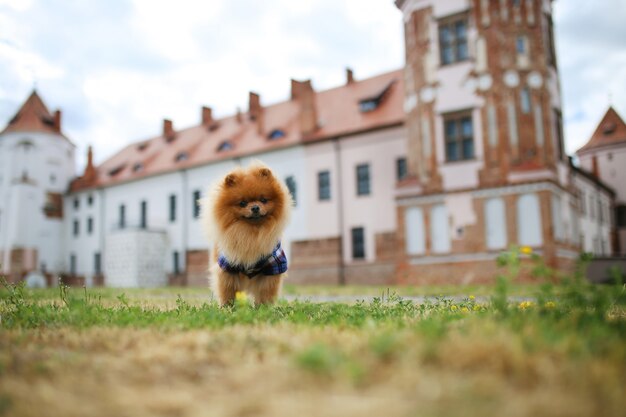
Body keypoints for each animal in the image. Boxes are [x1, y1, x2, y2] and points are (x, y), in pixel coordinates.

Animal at [201, 161, 294, 304]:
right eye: (242, 203)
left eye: (263, 200)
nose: (255, 207)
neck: (250, 232)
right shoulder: (227, 268)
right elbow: (227, 293)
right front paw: (227, 307)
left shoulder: (273, 268)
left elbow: (265, 294)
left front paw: (263, 307)